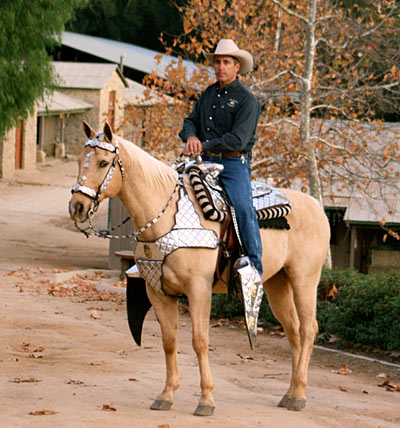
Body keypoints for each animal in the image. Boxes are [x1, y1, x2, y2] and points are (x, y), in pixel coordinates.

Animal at [69, 122, 330, 416]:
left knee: (308, 329)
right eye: (80, 160)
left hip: (304, 279)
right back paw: (292, 392)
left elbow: (199, 340)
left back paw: (298, 395)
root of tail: (317, 207)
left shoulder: (199, 290)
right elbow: (169, 341)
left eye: (103, 162)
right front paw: (166, 395)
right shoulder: (158, 292)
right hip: (277, 285)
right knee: (293, 331)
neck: (166, 214)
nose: (77, 207)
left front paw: (206, 400)